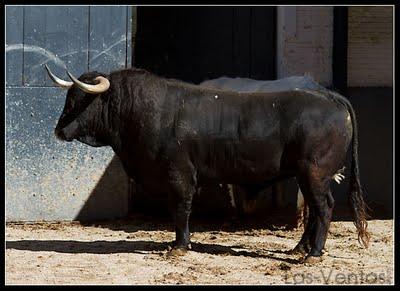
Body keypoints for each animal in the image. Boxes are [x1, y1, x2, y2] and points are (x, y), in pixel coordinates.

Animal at [48, 67, 370, 264]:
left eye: (82, 99)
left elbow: (180, 209)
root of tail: (329, 97)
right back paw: (301, 247)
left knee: (324, 208)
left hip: (314, 173)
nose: (59, 130)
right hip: (310, 176)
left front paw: (180, 246)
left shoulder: (179, 175)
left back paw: (313, 253)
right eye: (68, 97)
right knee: (315, 209)